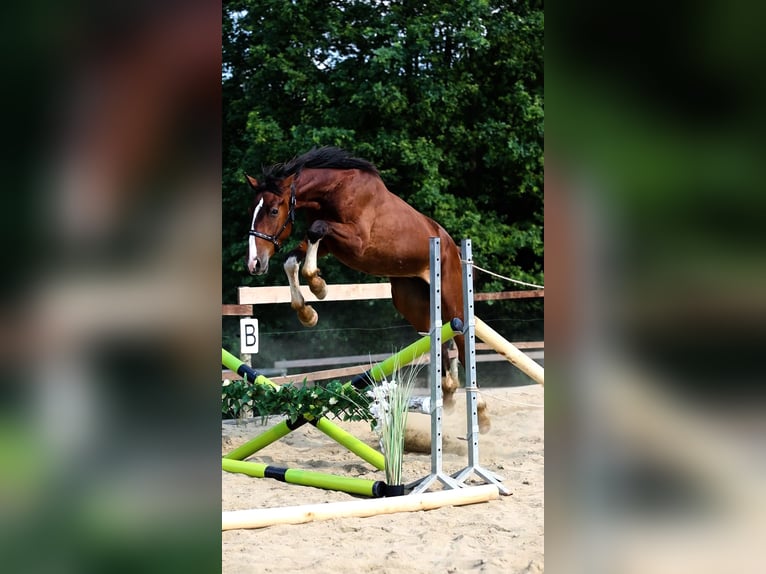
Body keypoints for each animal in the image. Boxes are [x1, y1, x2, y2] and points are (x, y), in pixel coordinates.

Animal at [245, 147, 489, 432]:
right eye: (252, 210)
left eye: (273, 211)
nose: (254, 263)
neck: (334, 191)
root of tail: (453, 246)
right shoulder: (328, 244)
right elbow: (293, 260)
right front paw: (307, 313)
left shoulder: (356, 240)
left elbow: (316, 231)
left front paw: (318, 286)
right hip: (412, 302)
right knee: (435, 336)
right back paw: (447, 393)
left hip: (451, 297)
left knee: (462, 344)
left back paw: (481, 411)